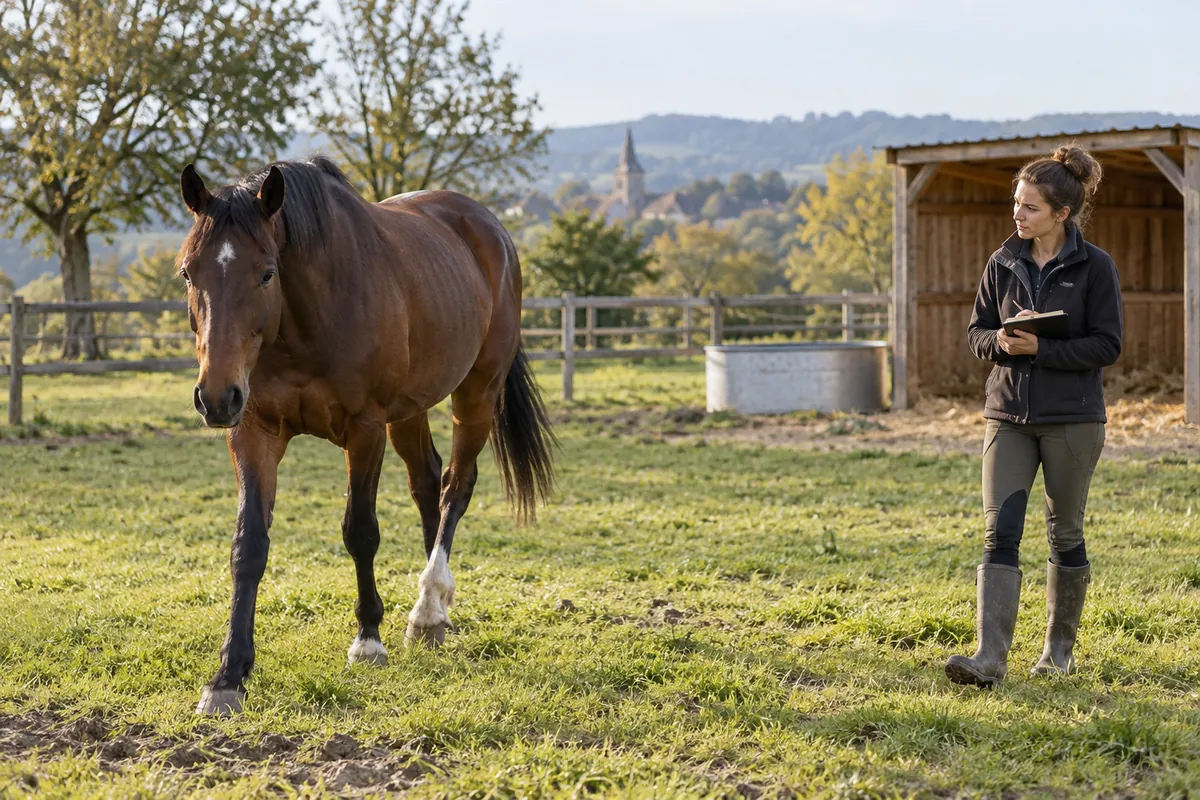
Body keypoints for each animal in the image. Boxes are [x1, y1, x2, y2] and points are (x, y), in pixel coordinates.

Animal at [176, 157, 555, 715]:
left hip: (477, 395)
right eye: (188, 271)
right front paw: (228, 676)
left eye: (267, 273)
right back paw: (436, 613)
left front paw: (368, 641)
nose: (216, 397)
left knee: (456, 486)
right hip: (410, 411)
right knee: (428, 485)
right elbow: (249, 545)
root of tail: (489, 227)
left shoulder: (365, 430)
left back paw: (426, 608)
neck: (305, 320)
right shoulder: (253, 432)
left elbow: (360, 531)